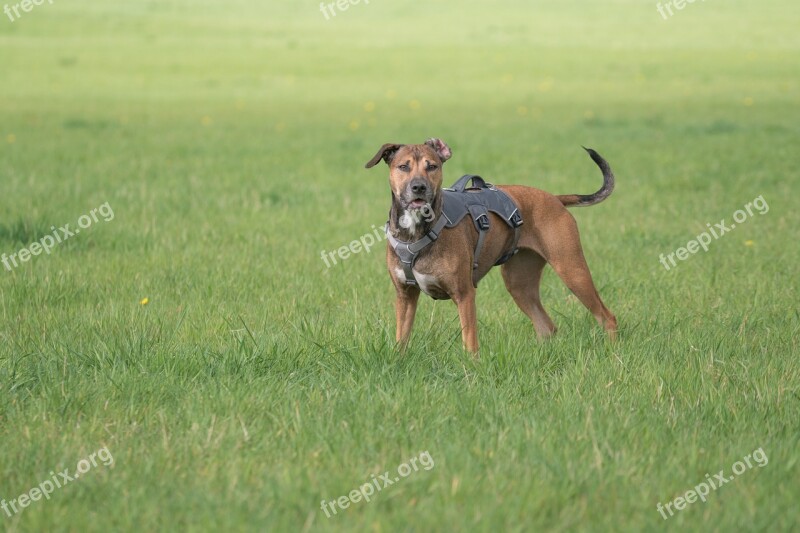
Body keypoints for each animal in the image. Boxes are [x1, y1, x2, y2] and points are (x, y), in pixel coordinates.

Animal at [366, 138, 620, 354]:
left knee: (607, 317)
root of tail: (555, 199)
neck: (417, 230)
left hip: (572, 270)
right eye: (403, 167)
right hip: (519, 283)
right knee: (546, 326)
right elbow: (402, 339)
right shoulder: (405, 296)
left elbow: (469, 342)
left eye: (432, 166)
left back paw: (613, 351)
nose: (419, 187)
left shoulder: (464, 294)